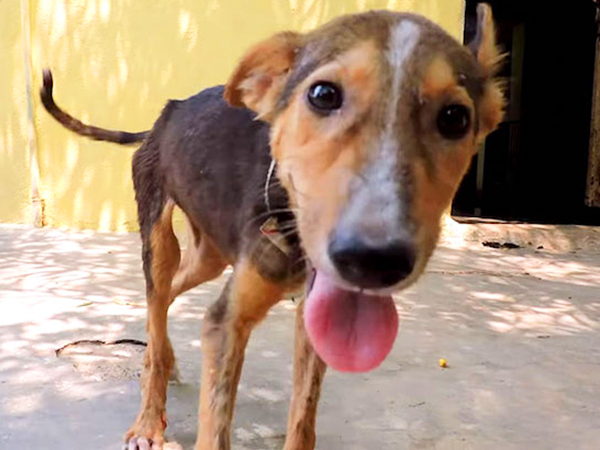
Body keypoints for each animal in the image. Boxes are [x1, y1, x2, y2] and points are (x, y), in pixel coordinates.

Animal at [40, 4, 504, 449]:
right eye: (322, 94)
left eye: (456, 118)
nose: (374, 261)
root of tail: (167, 112)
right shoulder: (227, 322)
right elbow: (215, 429)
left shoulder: (313, 320)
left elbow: (303, 419)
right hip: (158, 233)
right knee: (157, 297)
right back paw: (148, 420)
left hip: (209, 253)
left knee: (168, 296)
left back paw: (165, 356)